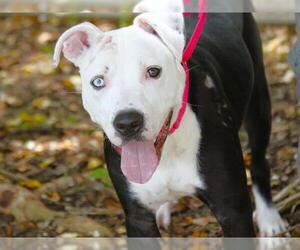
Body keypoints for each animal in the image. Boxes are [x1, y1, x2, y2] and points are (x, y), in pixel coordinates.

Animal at [53, 0, 286, 238]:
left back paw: (269, 220)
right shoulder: (139, 218)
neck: (168, 150)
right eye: (98, 82)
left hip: (258, 103)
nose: (127, 123)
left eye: (153, 71)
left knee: (259, 161)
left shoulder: (232, 211)